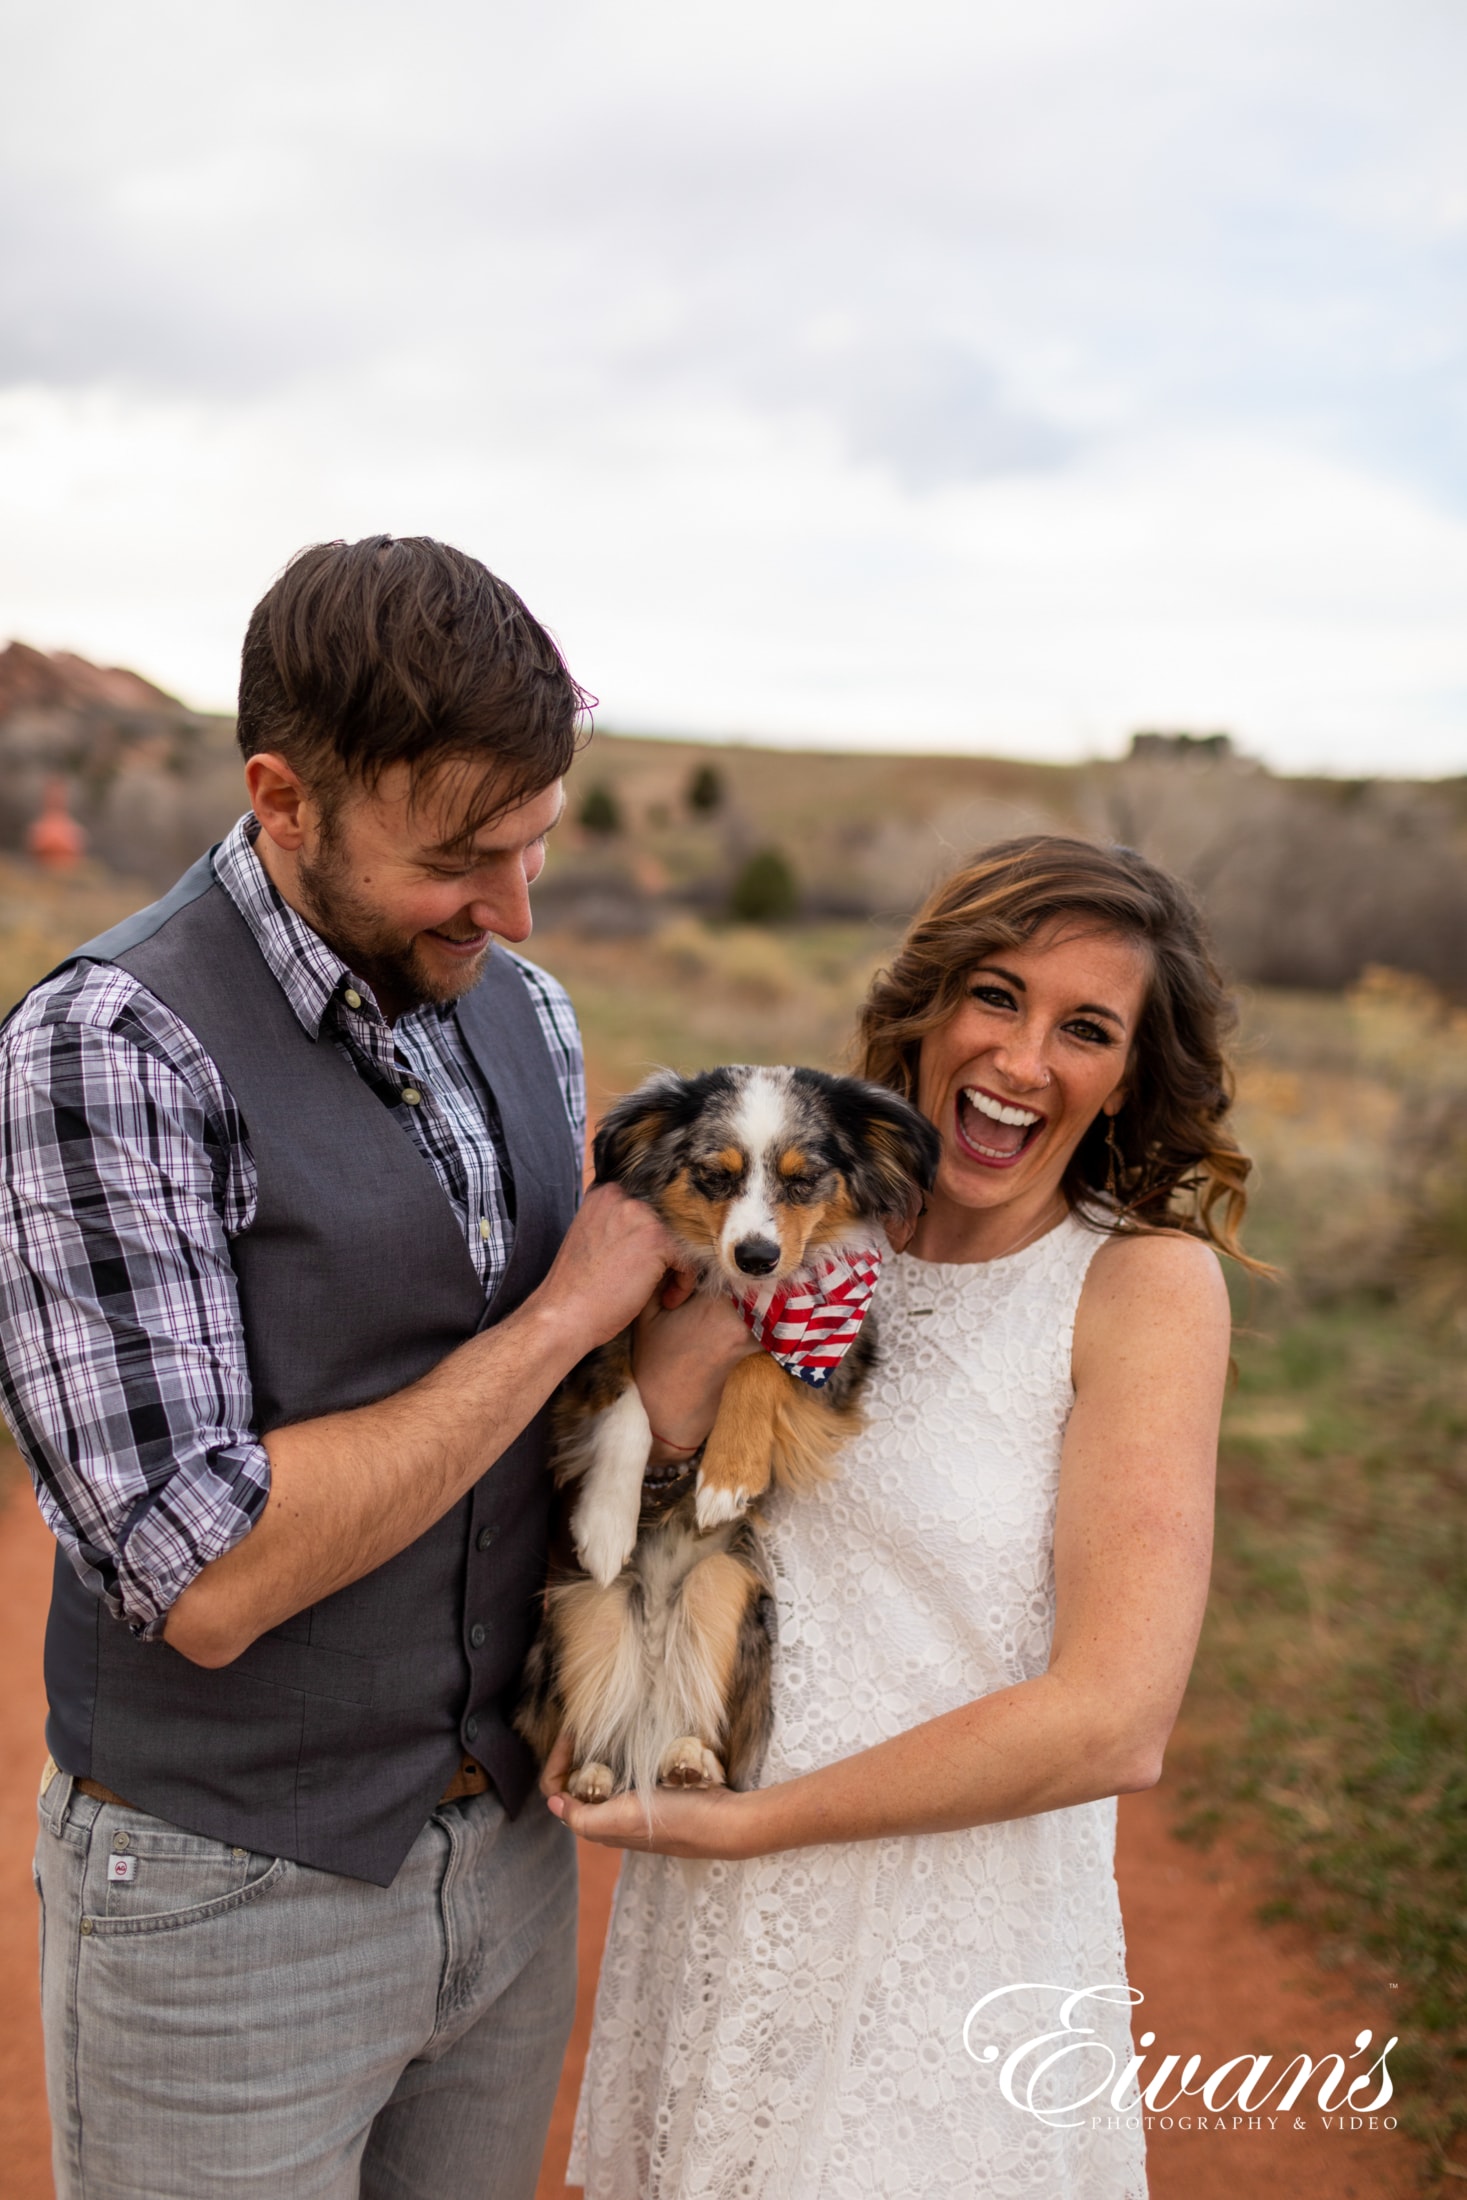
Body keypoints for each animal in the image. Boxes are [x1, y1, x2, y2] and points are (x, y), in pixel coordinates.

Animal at [514, 1064, 941, 1804]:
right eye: (715, 1175)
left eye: (804, 1179)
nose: (757, 1257)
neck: (730, 1288)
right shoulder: (590, 1340)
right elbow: (628, 1401)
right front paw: (605, 1523)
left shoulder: (834, 1361)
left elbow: (757, 1362)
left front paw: (725, 1478)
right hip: (580, 1611)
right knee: (602, 1731)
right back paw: (596, 1771)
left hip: (724, 1587)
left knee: (694, 1729)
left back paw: (689, 1760)